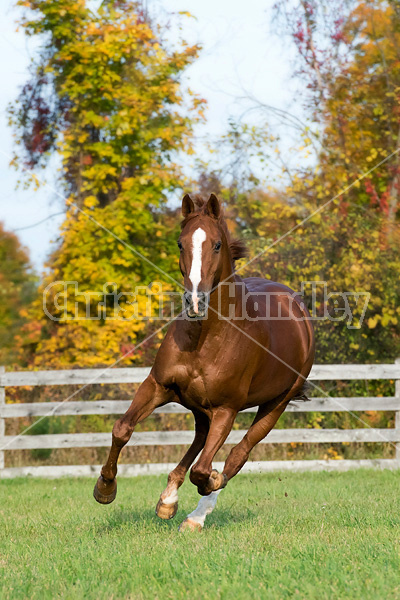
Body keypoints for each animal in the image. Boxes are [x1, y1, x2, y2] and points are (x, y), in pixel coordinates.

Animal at [92, 192, 314, 528]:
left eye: (217, 244)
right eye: (180, 243)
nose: (195, 301)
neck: (205, 338)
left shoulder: (226, 408)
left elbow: (204, 470)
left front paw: (210, 481)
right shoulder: (158, 386)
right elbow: (122, 428)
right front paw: (105, 488)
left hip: (276, 404)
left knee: (237, 455)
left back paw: (198, 513)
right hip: (199, 406)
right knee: (199, 440)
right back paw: (168, 500)